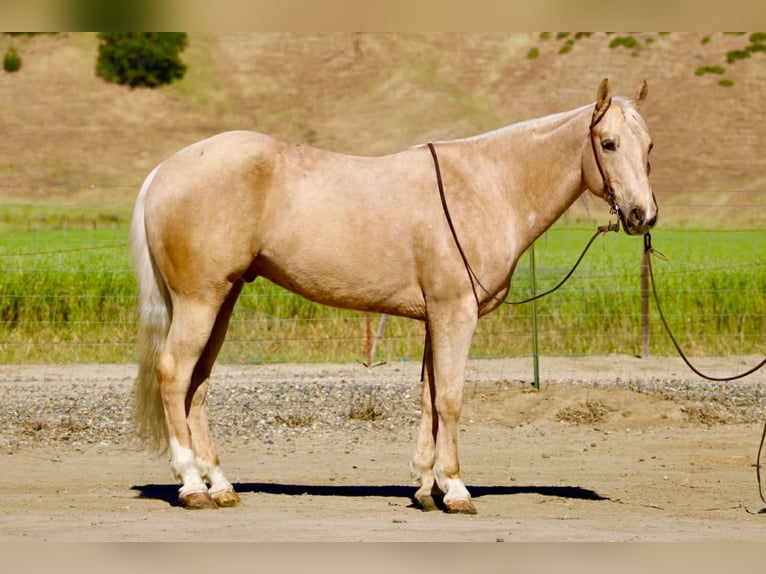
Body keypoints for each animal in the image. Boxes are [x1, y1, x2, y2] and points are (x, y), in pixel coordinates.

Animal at [130, 78, 657, 514]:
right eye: (608, 143)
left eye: (649, 145)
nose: (642, 215)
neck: (488, 185)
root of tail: (164, 171)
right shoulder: (455, 315)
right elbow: (450, 399)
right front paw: (456, 489)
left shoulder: (435, 318)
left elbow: (428, 397)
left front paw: (426, 487)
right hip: (200, 301)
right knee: (174, 375)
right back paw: (191, 485)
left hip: (223, 298)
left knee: (197, 385)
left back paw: (219, 484)